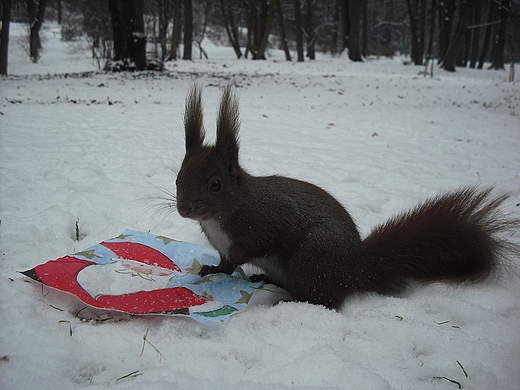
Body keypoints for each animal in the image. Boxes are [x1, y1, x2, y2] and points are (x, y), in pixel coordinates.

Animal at [176, 86, 520, 310]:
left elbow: (266, 240)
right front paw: (210, 270)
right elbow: (223, 265)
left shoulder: (270, 216)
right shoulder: (219, 243)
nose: (184, 210)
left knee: (323, 300)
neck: (225, 213)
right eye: (178, 178)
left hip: (314, 256)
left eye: (216, 184)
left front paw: (239, 254)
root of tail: (356, 270)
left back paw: (284, 300)